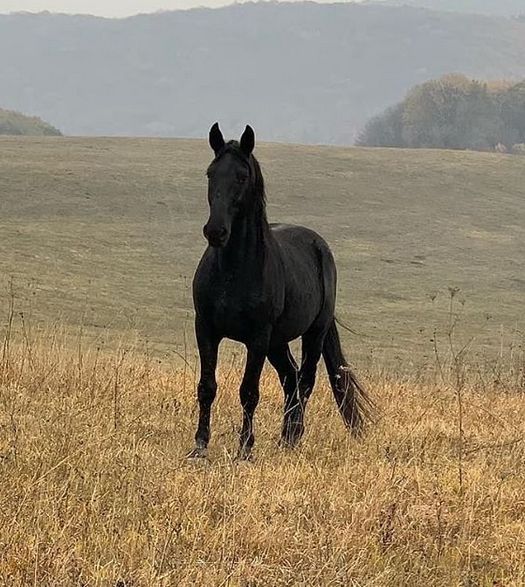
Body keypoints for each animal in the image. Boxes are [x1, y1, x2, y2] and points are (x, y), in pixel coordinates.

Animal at [188, 124, 372, 462]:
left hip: (311, 333)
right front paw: (200, 445)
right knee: (290, 378)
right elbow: (207, 386)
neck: (233, 271)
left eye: (242, 177)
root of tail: (318, 245)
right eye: (210, 173)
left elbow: (249, 391)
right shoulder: (205, 328)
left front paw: (245, 449)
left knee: (306, 380)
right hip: (278, 341)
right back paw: (285, 436)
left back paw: (293, 436)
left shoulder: (258, 337)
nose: (215, 231)